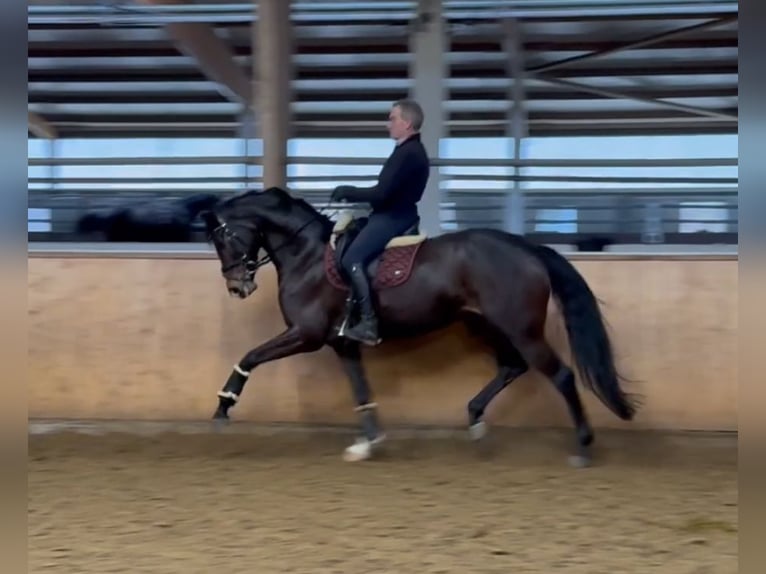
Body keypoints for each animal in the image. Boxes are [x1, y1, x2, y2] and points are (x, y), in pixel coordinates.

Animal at [201, 186, 639, 466]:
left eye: (223, 238)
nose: (237, 286)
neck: (307, 255)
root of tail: (527, 248)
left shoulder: (306, 335)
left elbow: (251, 356)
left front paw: (224, 405)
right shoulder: (343, 344)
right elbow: (361, 389)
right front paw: (368, 444)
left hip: (520, 329)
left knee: (560, 375)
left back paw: (582, 447)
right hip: (486, 325)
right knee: (512, 366)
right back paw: (475, 419)